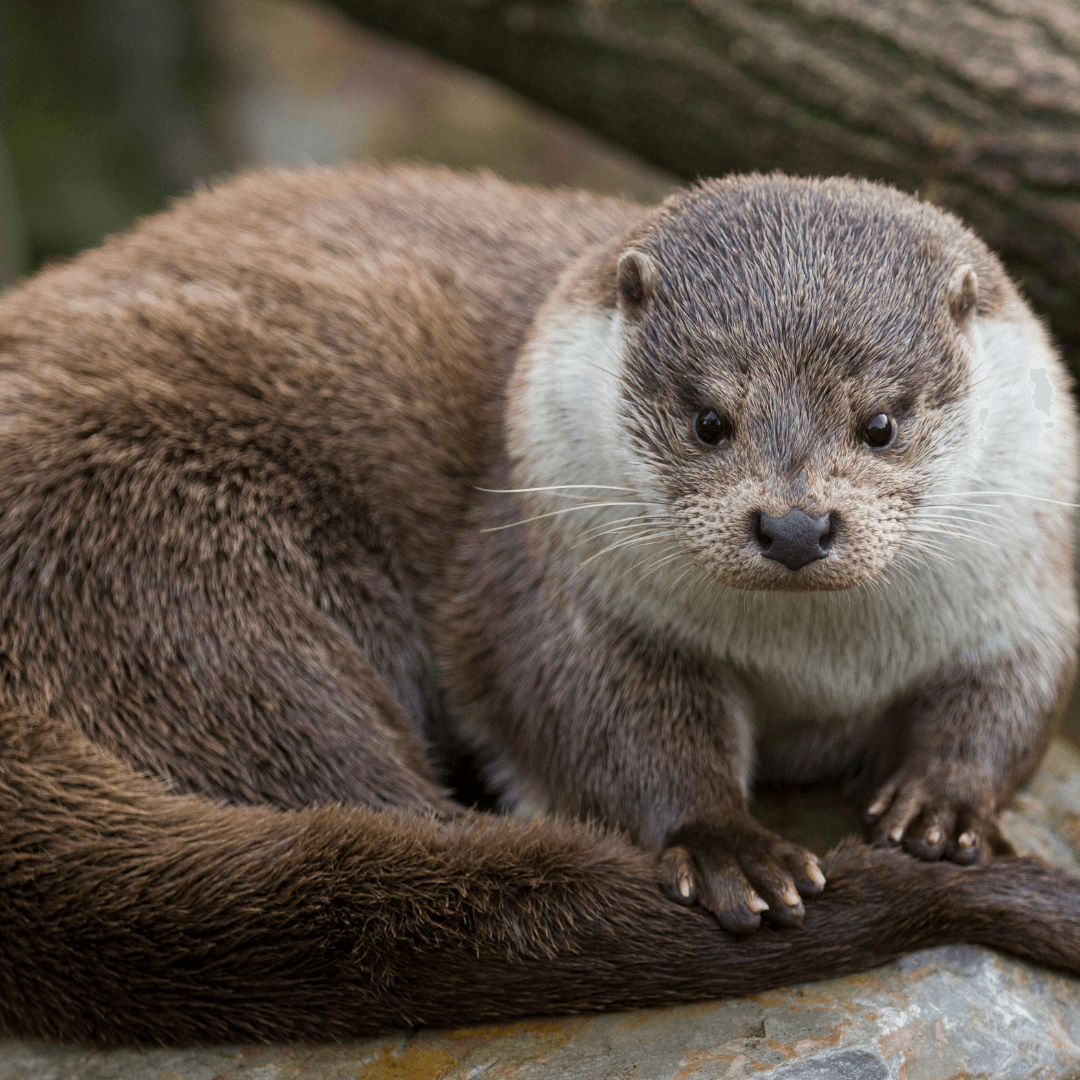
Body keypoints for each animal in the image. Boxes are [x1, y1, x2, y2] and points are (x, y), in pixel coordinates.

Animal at [0, 166, 1075, 1045]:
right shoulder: (556, 582)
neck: (819, 669)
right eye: (708, 419)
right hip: (185, 595)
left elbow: (1012, 693)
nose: (796, 525)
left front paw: (943, 805)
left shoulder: (1029, 577)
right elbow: (597, 720)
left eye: (881, 422)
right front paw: (731, 850)